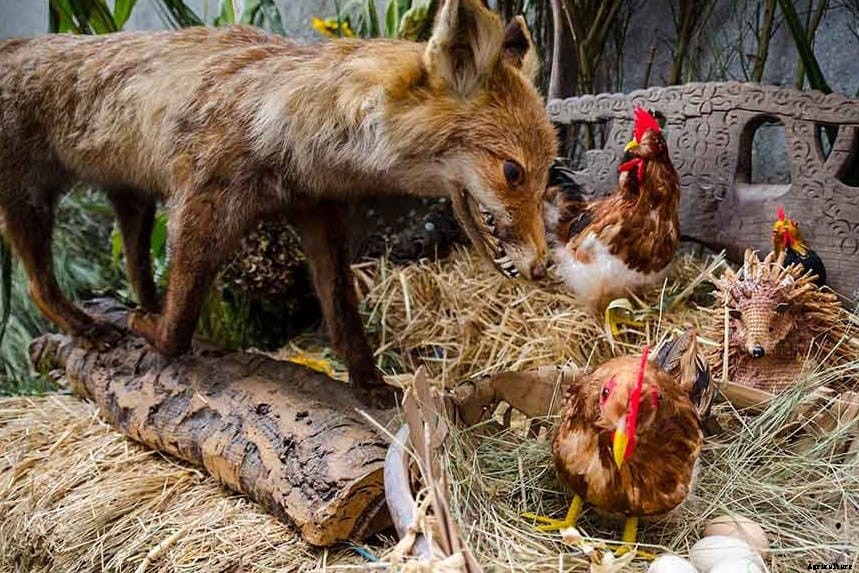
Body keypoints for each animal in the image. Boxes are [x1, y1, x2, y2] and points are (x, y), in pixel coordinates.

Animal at [0, 0, 556, 404]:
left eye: (550, 169)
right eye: (513, 172)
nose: (542, 267)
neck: (286, 124)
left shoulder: (319, 214)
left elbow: (345, 319)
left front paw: (370, 384)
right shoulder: (199, 207)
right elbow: (179, 327)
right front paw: (154, 337)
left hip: (133, 199)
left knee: (137, 267)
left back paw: (137, 307)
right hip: (31, 203)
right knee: (35, 286)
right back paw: (87, 328)